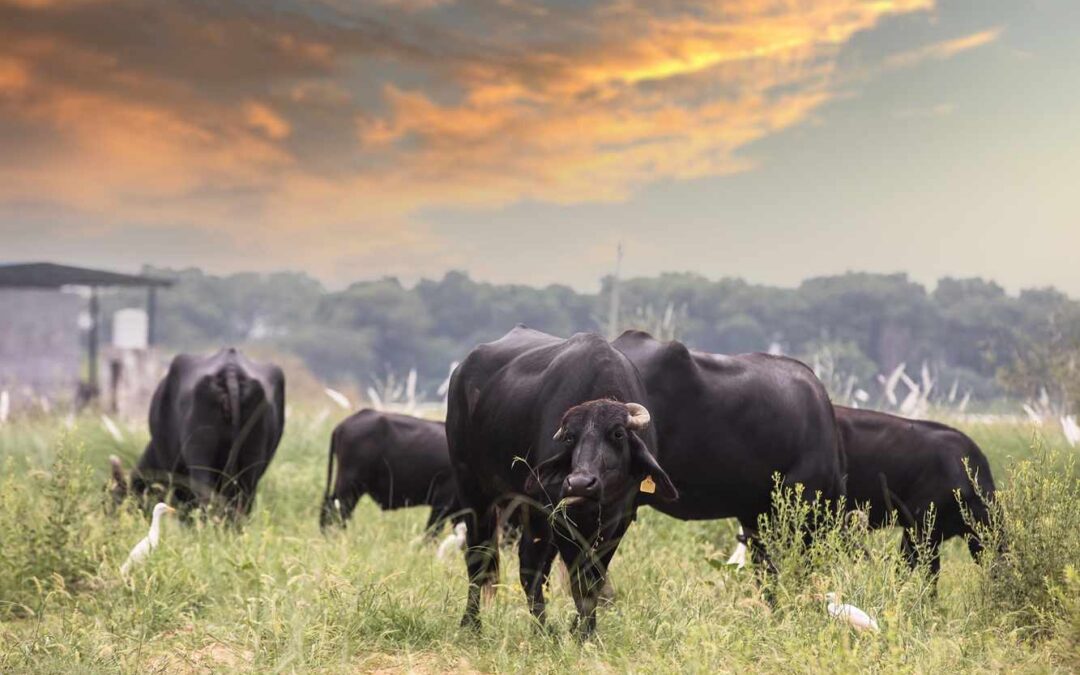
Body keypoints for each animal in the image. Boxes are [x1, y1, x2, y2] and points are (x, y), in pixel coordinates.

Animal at [447, 324, 673, 635]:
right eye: (569, 438)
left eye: (617, 433)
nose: (579, 483)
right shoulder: (562, 517)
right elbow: (579, 579)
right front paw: (583, 632)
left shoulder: (620, 518)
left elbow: (593, 577)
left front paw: (582, 629)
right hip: (474, 490)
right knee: (480, 557)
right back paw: (473, 624)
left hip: (526, 507)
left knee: (530, 563)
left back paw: (541, 627)